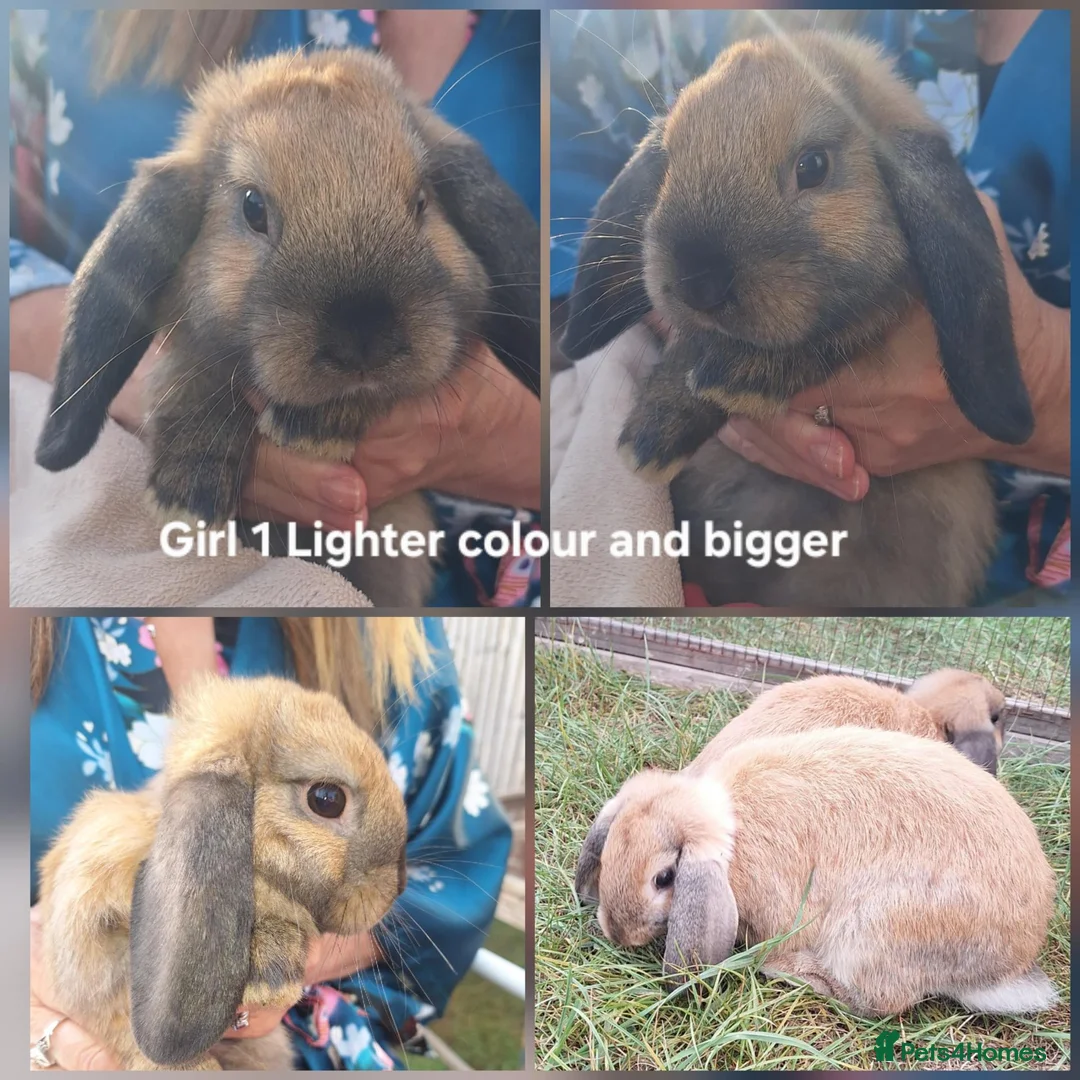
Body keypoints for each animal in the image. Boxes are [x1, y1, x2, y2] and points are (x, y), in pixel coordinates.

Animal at [33, 48, 540, 607]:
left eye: (422, 202)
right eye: (252, 207)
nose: (363, 339)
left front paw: (314, 426)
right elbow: (194, 368)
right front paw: (189, 489)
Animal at [559, 31, 1034, 606]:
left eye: (813, 166)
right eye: (668, 161)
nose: (699, 284)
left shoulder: (875, 311)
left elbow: (837, 333)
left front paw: (733, 383)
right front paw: (651, 437)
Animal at [574, 727, 1058, 1017]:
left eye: (664, 878)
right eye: (610, 850)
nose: (618, 934)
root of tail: (1008, 967)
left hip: (873, 931)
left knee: (879, 1002)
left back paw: (791, 971)